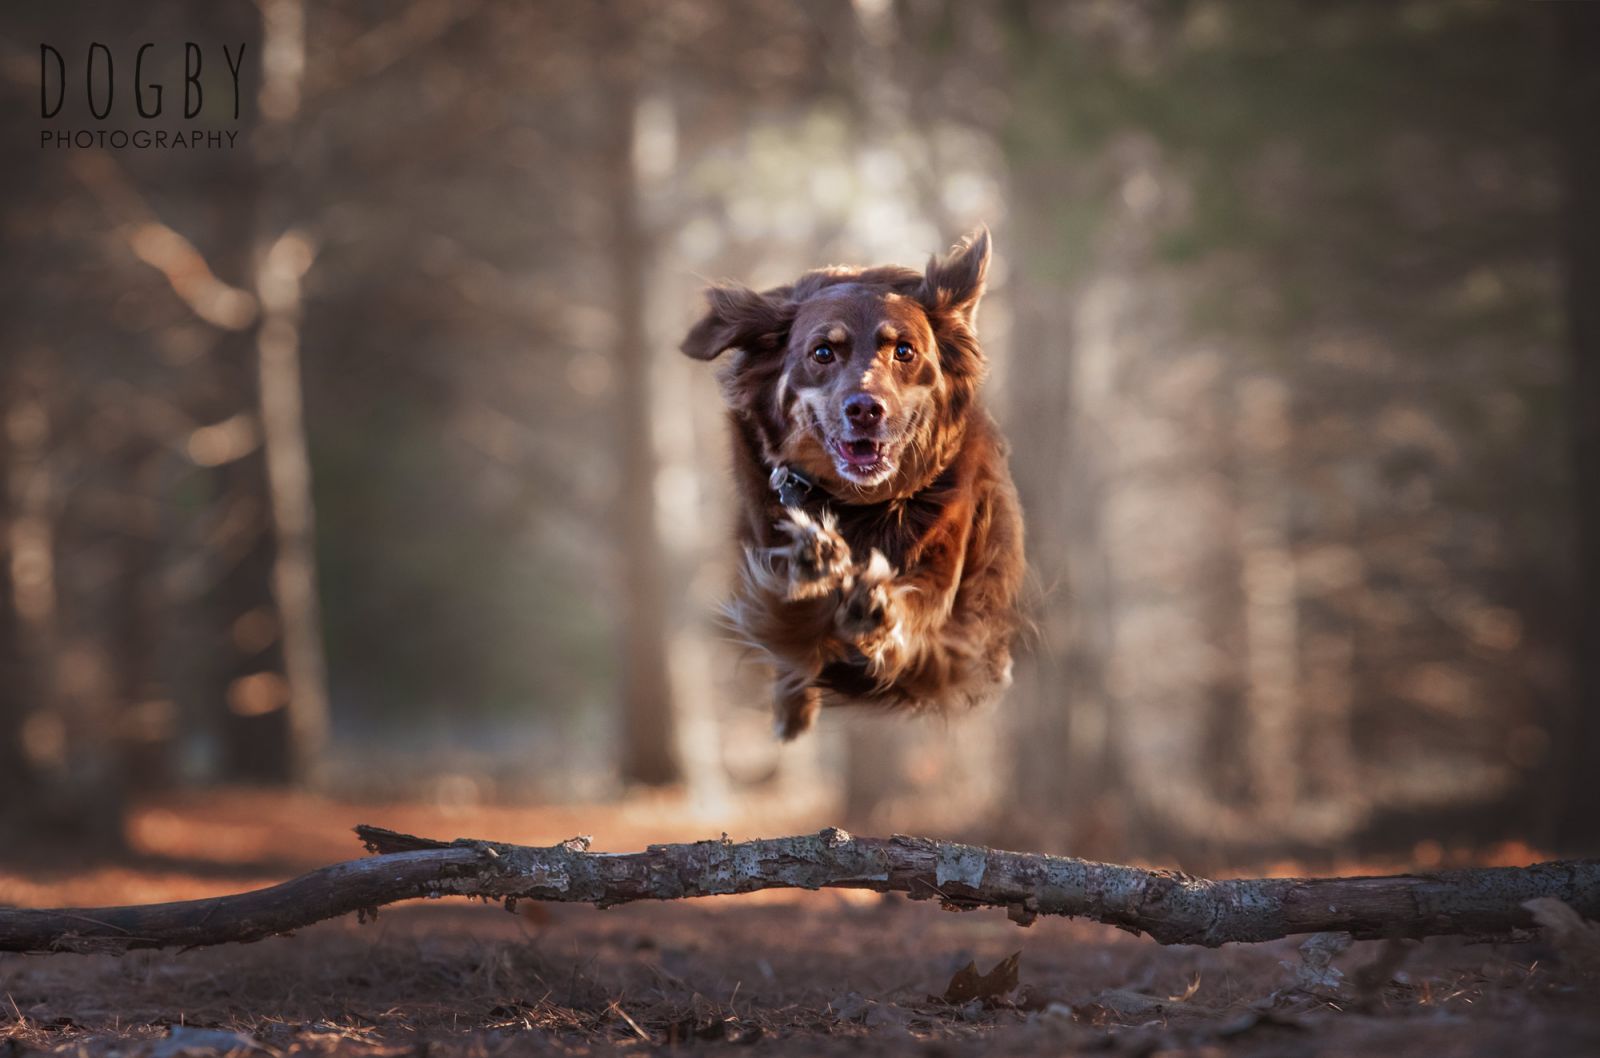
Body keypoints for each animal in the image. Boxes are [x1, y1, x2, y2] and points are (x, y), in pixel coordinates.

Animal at [678, 228, 1024, 742]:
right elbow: (790, 621)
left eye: (904, 350)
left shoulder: (941, 566)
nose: (865, 409)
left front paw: (873, 608)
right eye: (823, 351)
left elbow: (913, 612)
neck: (861, 505)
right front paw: (815, 568)